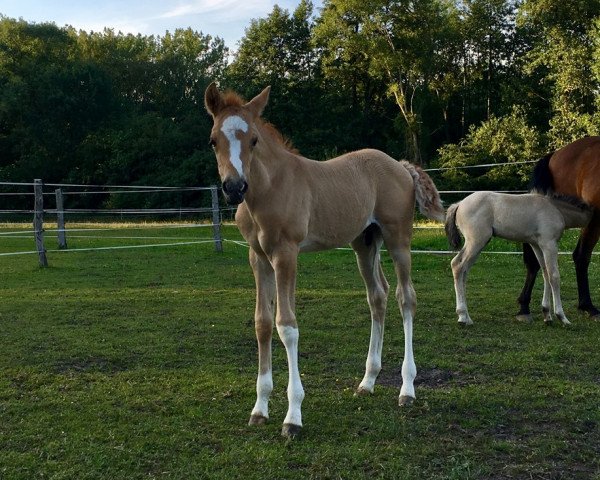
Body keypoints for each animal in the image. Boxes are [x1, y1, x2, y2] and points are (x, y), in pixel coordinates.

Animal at [206, 83, 446, 438]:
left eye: (254, 140)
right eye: (213, 140)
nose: (235, 187)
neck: (268, 190)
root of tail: (402, 166)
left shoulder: (286, 254)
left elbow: (286, 326)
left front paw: (293, 417)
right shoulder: (258, 257)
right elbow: (263, 323)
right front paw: (259, 409)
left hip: (398, 238)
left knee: (406, 297)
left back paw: (407, 389)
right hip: (365, 242)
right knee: (378, 295)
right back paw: (367, 381)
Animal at [446, 191, 592, 326]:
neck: (556, 209)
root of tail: (459, 204)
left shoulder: (537, 245)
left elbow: (545, 273)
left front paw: (547, 314)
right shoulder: (549, 243)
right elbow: (554, 276)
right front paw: (562, 317)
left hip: (478, 244)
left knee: (464, 271)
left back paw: (467, 318)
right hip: (476, 242)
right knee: (457, 265)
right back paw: (462, 316)